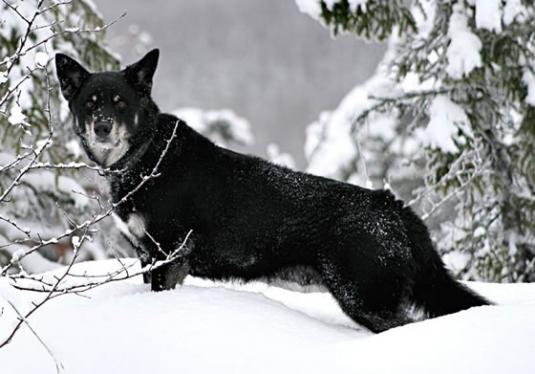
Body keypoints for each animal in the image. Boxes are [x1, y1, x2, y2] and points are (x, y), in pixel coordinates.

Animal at [55, 48, 490, 332]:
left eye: (120, 102)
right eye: (90, 102)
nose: (103, 127)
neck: (146, 159)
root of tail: (393, 207)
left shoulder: (170, 257)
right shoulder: (148, 257)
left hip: (365, 299)